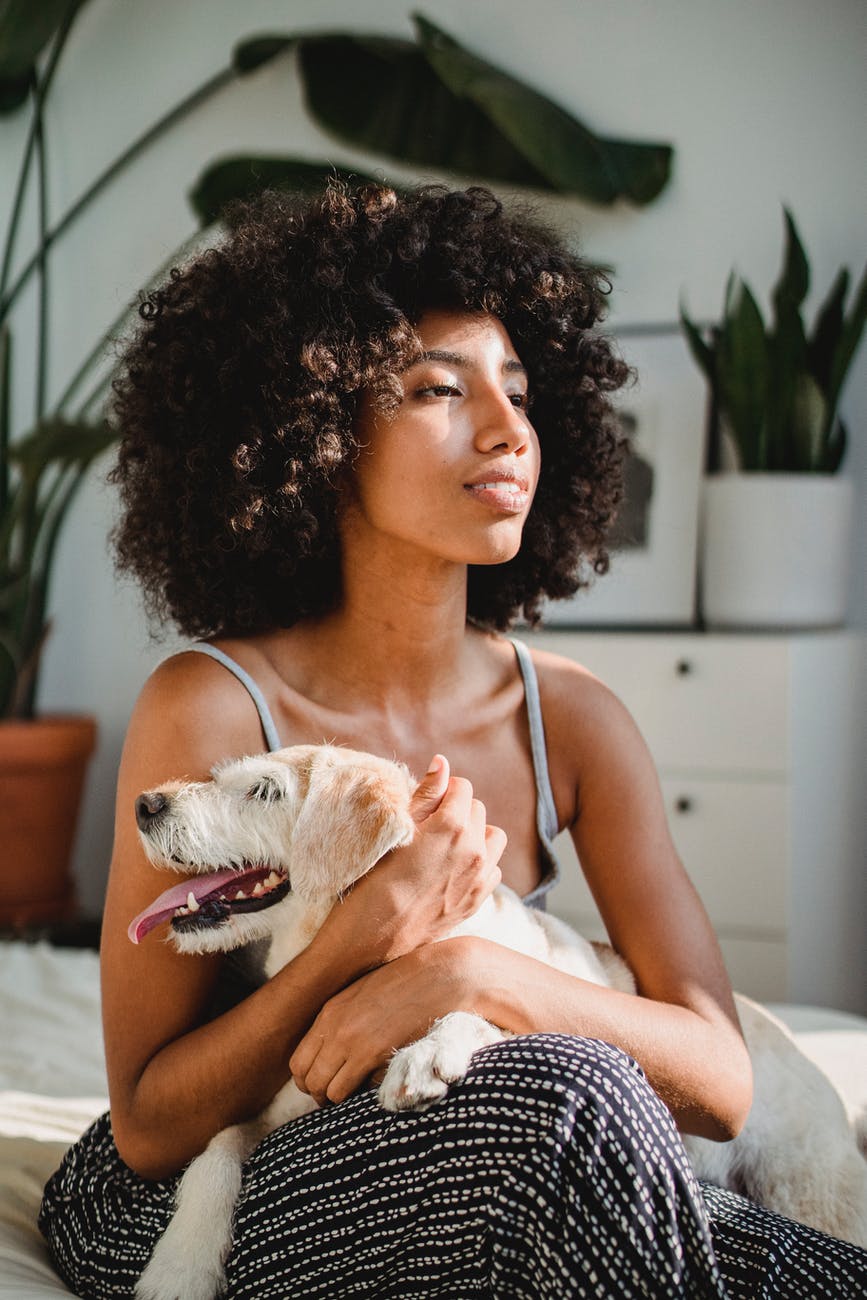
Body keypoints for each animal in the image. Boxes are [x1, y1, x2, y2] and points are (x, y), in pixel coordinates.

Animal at [128, 748, 867, 1294]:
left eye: (264, 791)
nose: (144, 803)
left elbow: (480, 1004)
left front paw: (430, 1050)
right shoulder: (281, 1112)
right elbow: (215, 1148)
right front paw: (179, 1267)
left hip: (808, 1184)